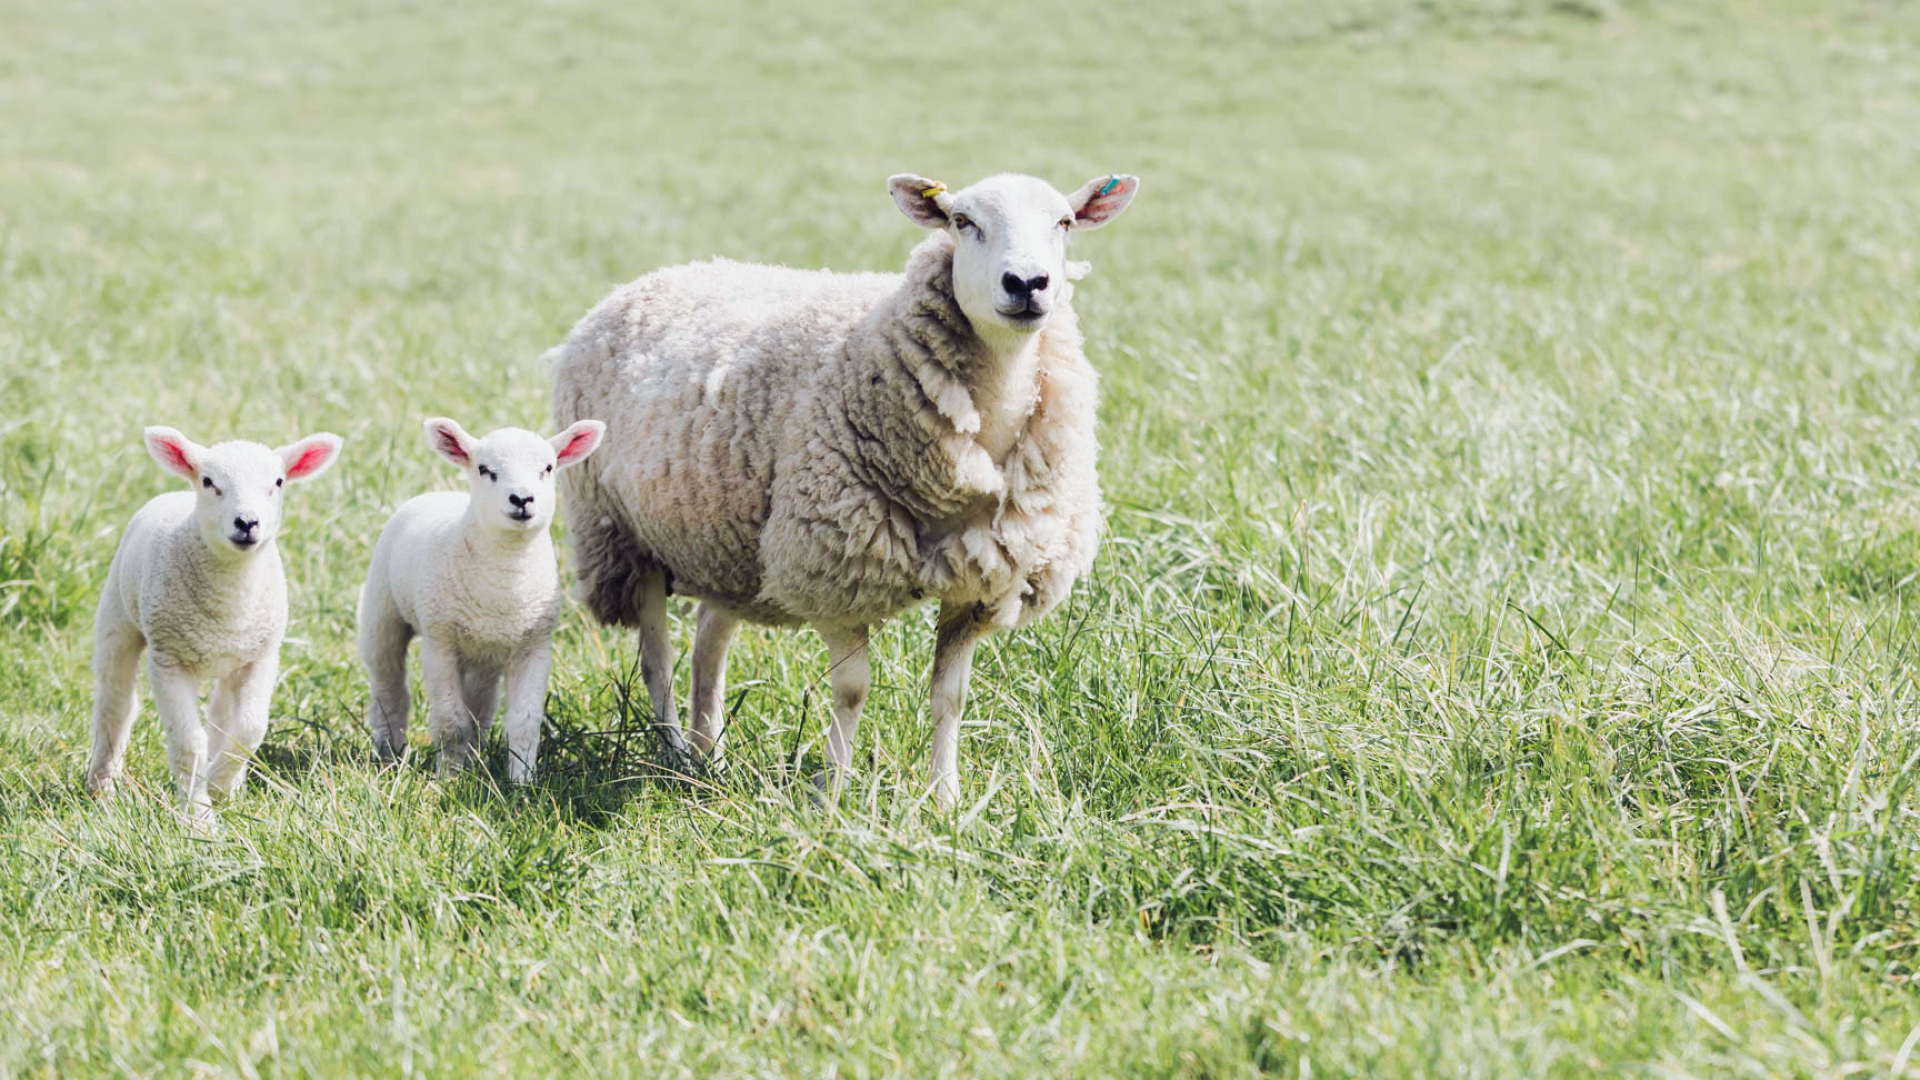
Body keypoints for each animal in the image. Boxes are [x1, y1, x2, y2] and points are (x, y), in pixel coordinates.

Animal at [88, 422, 345, 822]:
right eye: (209, 481)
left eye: (278, 482)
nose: (247, 522)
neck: (229, 603)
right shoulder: (167, 661)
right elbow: (188, 742)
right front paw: (198, 816)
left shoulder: (262, 656)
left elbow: (249, 730)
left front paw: (219, 787)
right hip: (117, 620)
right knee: (115, 706)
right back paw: (101, 788)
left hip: (231, 660)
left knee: (221, 716)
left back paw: (229, 786)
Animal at [357, 417, 602, 776]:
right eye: (485, 469)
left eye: (548, 468)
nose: (522, 499)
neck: (505, 579)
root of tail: (439, 494)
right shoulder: (440, 644)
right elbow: (451, 722)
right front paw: (449, 777)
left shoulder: (534, 646)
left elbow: (524, 723)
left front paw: (522, 781)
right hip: (382, 614)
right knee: (389, 687)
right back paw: (389, 752)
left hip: (485, 654)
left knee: (481, 706)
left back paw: (474, 756)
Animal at [545, 168, 1136, 803]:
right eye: (962, 222)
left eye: (1065, 222)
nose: (1026, 283)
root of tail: (649, 279)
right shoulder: (834, 567)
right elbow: (852, 690)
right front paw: (831, 794)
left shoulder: (978, 579)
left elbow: (950, 698)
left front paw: (947, 800)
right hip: (622, 537)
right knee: (657, 659)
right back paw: (676, 751)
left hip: (725, 543)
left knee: (709, 642)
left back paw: (710, 760)